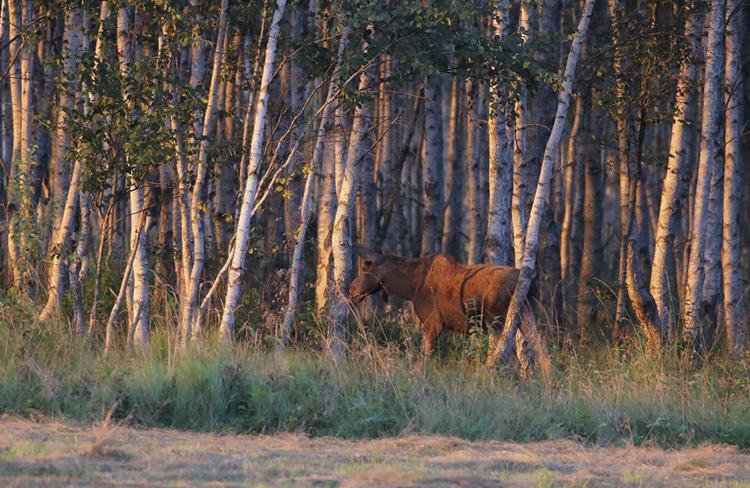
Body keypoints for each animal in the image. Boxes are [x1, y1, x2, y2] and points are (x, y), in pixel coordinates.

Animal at [350, 246, 524, 360]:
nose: (351, 290)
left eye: (366, 267)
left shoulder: (433, 322)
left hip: (497, 323)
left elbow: (425, 356)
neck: (411, 287)